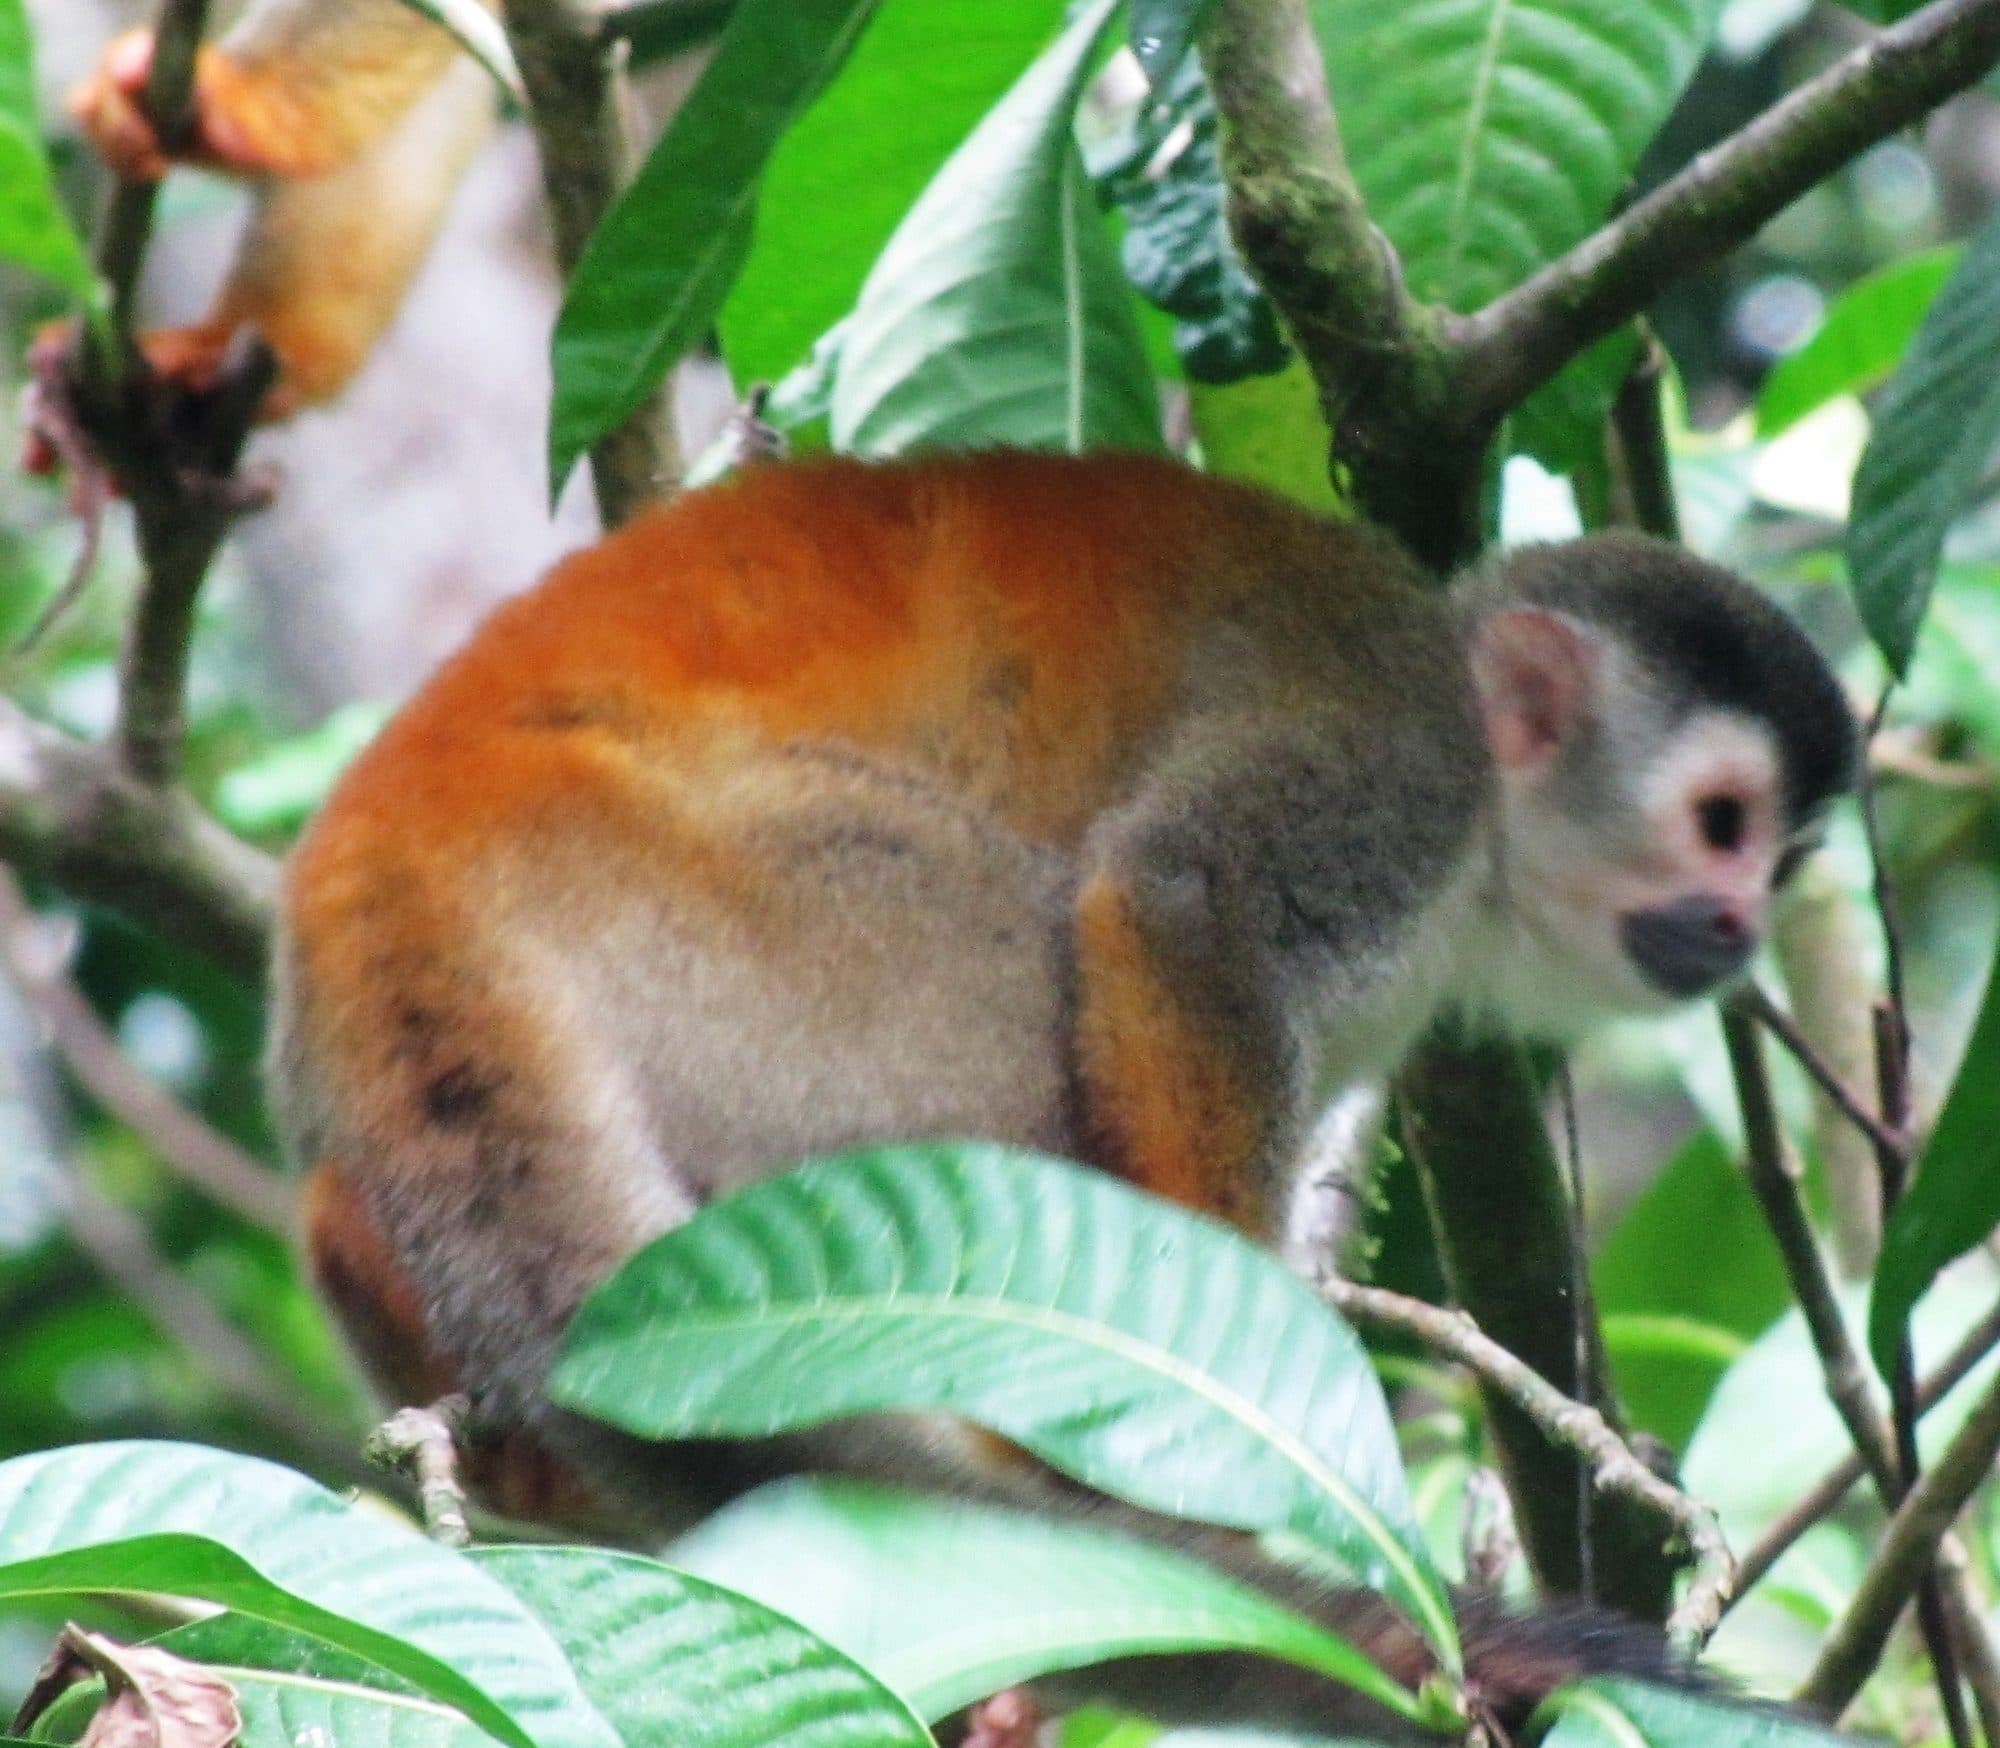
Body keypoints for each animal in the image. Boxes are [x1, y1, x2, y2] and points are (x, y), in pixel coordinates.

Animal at [268, 449, 1857, 1736]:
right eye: (1719, 822)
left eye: (1778, 858)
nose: (1738, 925)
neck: (1484, 865)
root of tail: (400, 846)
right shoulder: (1400, 760)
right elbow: (1182, 906)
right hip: (757, 913)